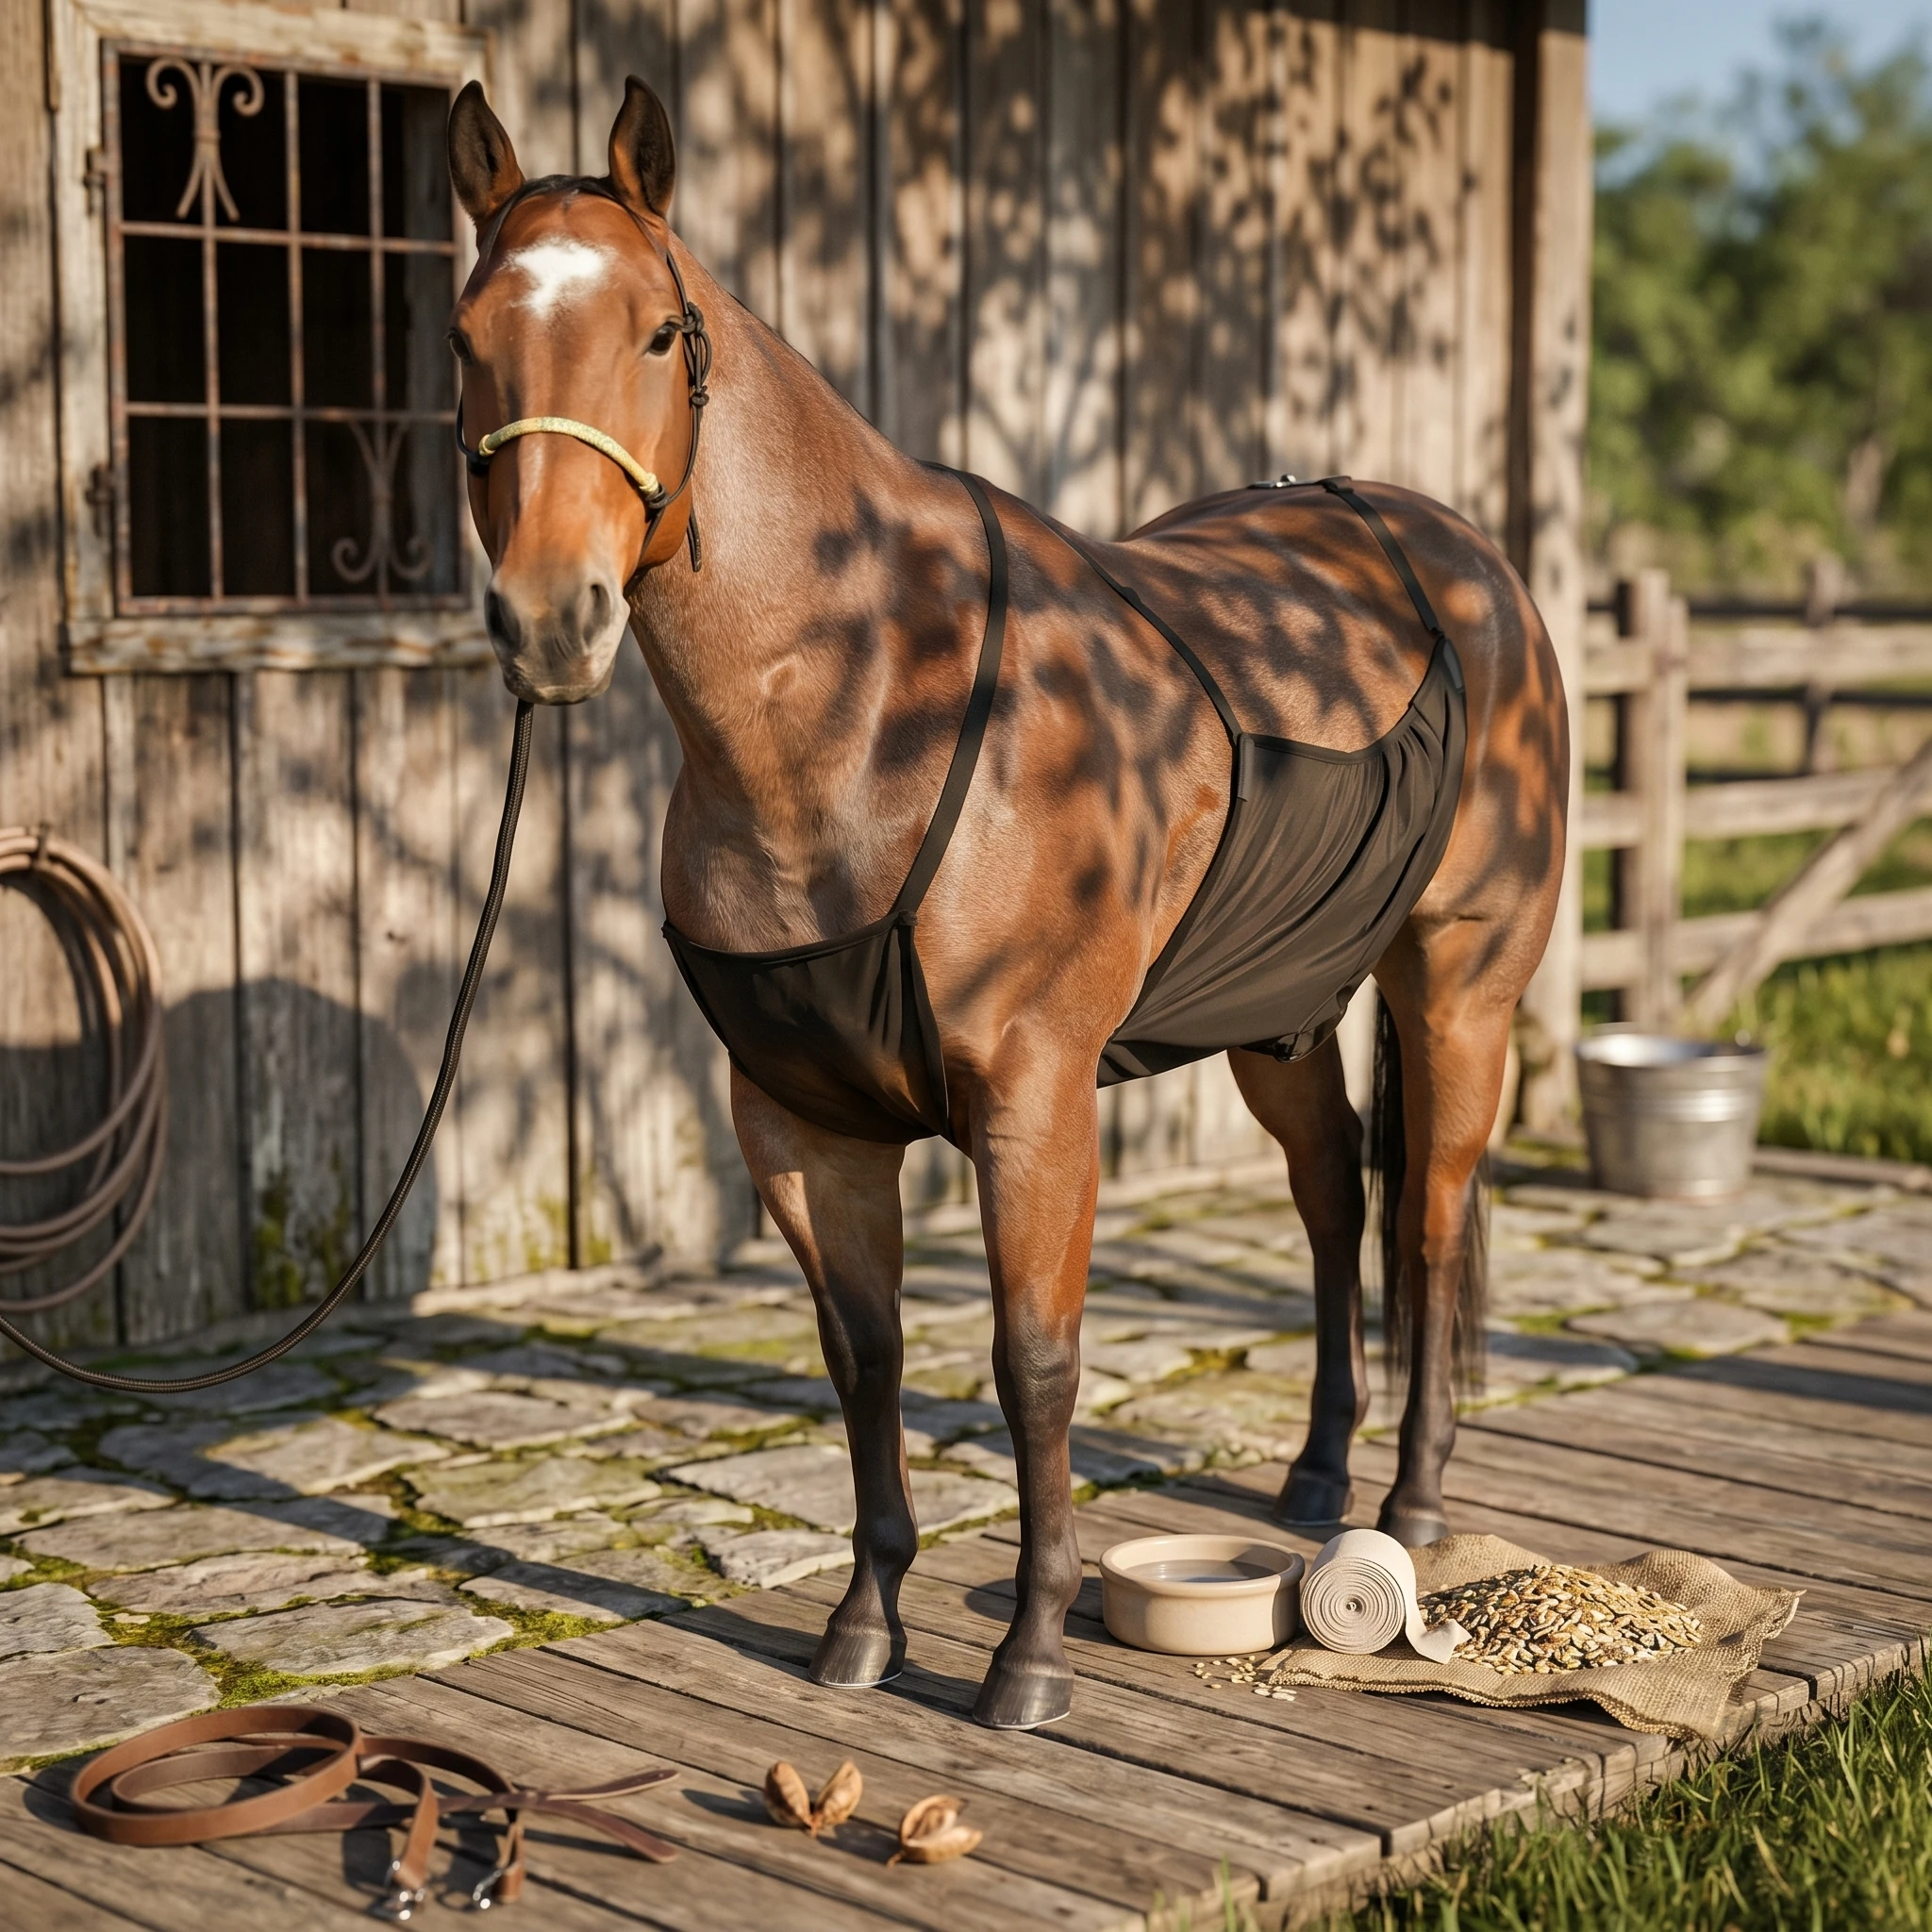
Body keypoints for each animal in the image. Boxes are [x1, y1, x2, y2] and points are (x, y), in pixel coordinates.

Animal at [444, 77, 1569, 1730]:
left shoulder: (1035, 1102)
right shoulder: (803, 1122)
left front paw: (1028, 1654)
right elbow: (865, 1359)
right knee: (1334, 1200)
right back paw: (1315, 1478)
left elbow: (1034, 1359)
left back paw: (1412, 1503)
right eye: (468, 337)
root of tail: (1452, 549)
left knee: (1426, 1218)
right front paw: (863, 1626)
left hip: (1459, 986)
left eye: (658, 333)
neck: (865, 710)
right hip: (1281, 1017)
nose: (548, 619)